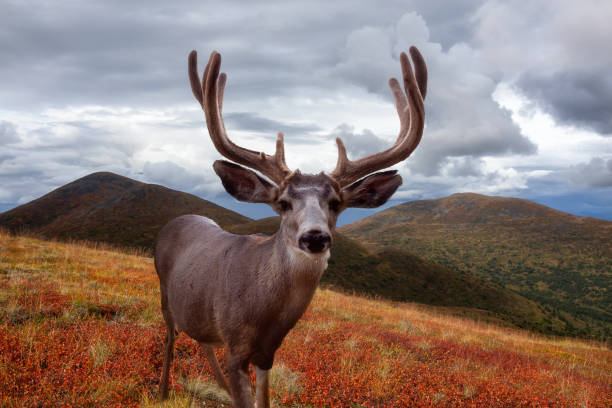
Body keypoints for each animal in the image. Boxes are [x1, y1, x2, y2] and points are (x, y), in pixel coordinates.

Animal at [154, 46, 426, 406]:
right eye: (282, 203)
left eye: (336, 203)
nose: (315, 237)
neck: (263, 313)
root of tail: (176, 220)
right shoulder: (235, 345)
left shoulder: (268, 353)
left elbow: (264, 399)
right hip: (164, 293)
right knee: (171, 336)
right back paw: (162, 390)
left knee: (201, 340)